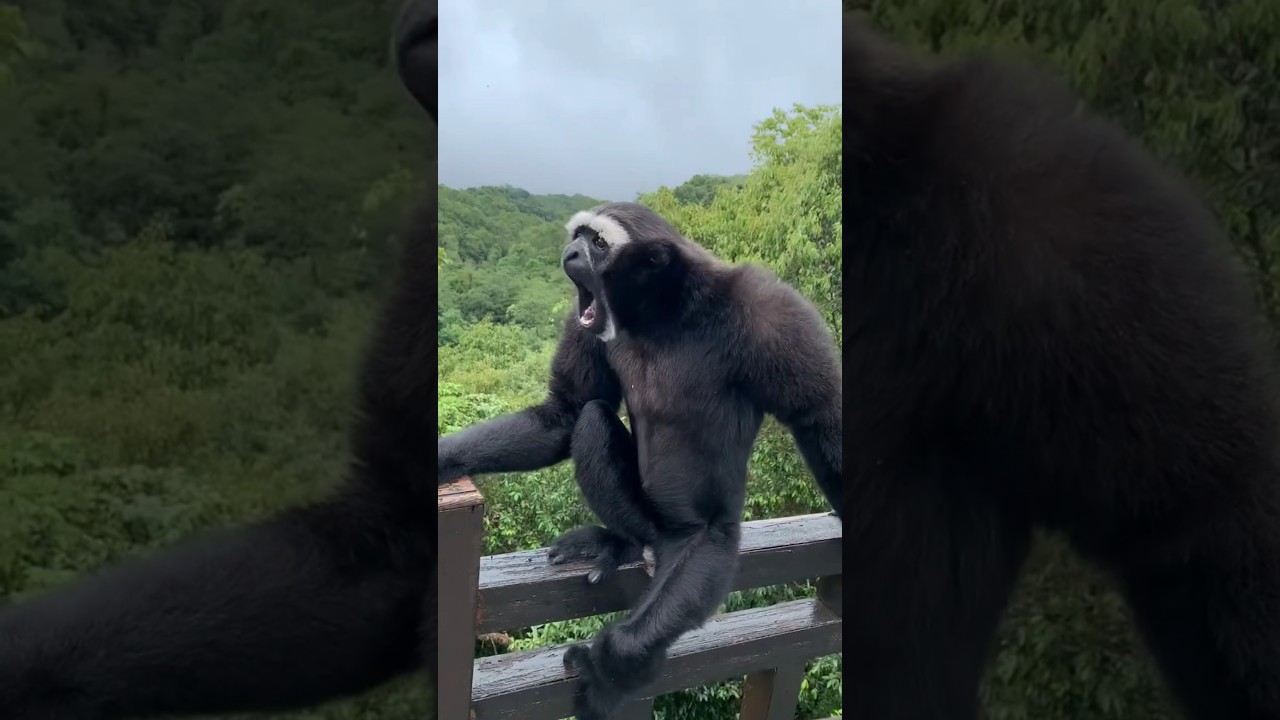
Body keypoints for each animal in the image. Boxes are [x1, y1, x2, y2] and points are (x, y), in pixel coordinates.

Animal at [436, 203, 843, 720]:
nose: (570, 252)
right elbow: (566, 412)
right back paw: (622, 543)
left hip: (707, 537)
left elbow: (819, 412)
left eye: (597, 243)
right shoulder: (586, 322)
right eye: (577, 235)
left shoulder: (771, 311)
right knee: (591, 420)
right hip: (645, 518)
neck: (664, 315)